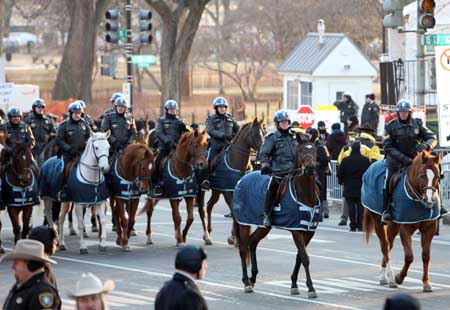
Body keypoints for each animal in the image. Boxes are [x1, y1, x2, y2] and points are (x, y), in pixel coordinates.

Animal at [232, 140, 320, 296]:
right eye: (301, 150)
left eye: (314, 150)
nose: (310, 168)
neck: (305, 193)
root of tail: (242, 179)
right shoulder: (296, 230)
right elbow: (304, 257)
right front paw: (310, 287)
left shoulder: (309, 231)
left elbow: (299, 256)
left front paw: (294, 284)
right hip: (244, 223)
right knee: (243, 248)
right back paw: (247, 282)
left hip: (264, 227)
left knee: (252, 242)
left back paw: (253, 277)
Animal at [362, 151, 440, 292]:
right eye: (422, 175)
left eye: (437, 176)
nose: (429, 201)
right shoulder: (405, 228)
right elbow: (409, 256)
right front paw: (399, 277)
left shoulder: (429, 227)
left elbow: (426, 256)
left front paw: (426, 282)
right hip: (377, 220)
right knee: (385, 246)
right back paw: (391, 278)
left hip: (394, 225)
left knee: (389, 244)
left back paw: (384, 276)